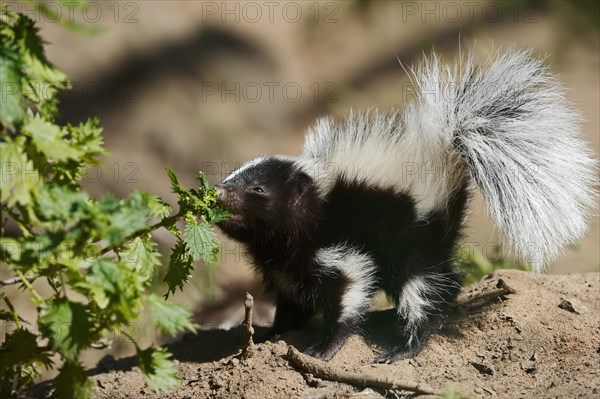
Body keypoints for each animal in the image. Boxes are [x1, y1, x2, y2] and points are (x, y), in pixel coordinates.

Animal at [214, 48, 596, 364]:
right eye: (233, 175)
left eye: (258, 189)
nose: (217, 192)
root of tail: (444, 149)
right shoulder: (286, 263)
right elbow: (291, 300)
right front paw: (273, 332)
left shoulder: (336, 249)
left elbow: (348, 288)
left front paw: (324, 347)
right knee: (444, 279)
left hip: (415, 233)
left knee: (422, 286)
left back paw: (405, 347)